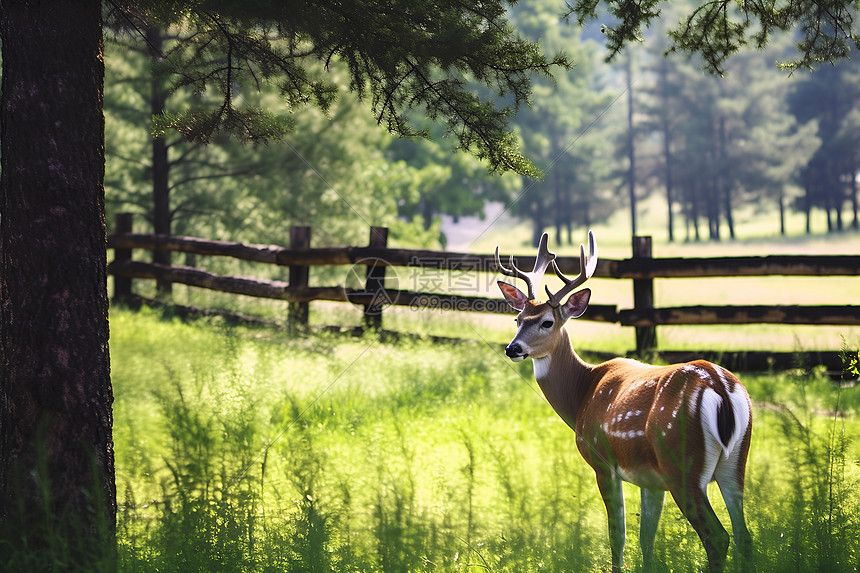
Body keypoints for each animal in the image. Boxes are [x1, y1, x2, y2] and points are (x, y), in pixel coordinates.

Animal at [498, 230, 752, 568]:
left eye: (546, 322)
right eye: (518, 319)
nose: (512, 348)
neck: (582, 393)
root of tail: (721, 387)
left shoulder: (601, 460)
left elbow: (617, 535)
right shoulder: (650, 479)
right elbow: (646, 539)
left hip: (680, 461)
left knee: (718, 537)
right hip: (734, 461)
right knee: (744, 536)